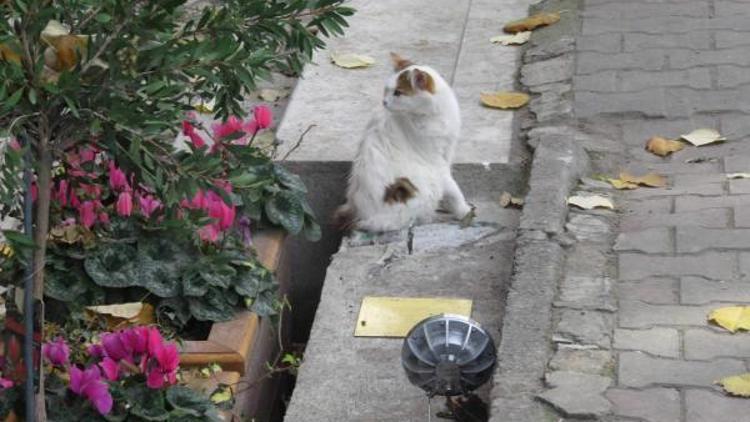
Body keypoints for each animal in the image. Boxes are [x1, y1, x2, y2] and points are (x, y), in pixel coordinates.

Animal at [338, 54, 472, 232]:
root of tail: (360, 216)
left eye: (398, 93)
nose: (384, 102)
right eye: (387, 90)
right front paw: (464, 211)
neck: (434, 115)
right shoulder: (438, 165)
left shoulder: (448, 152)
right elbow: (454, 191)